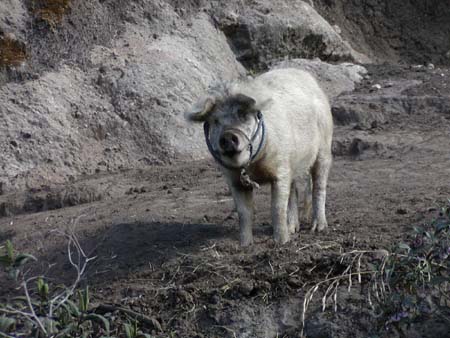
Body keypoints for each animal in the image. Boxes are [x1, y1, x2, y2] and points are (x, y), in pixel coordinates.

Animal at [185, 68, 332, 246]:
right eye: (215, 121)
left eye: (243, 115)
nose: (228, 136)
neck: (253, 167)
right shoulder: (234, 181)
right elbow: (244, 213)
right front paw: (245, 245)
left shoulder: (281, 169)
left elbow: (277, 208)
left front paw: (281, 243)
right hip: (293, 162)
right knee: (293, 191)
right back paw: (293, 229)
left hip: (324, 149)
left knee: (319, 186)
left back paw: (318, 228)